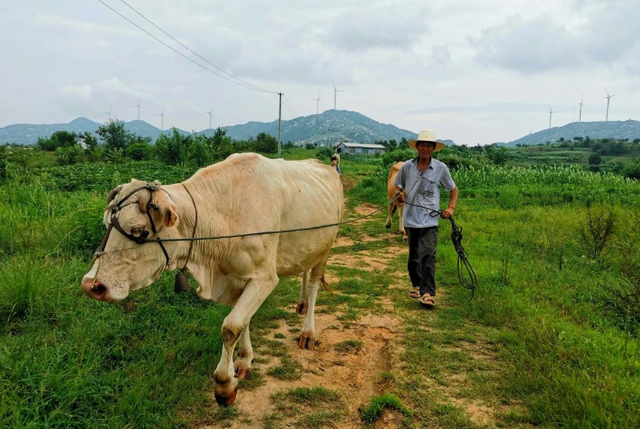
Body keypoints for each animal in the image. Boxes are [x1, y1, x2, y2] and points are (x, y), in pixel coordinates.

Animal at [83, 153, 348, 404]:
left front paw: (224, 384)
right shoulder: (237, 277)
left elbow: (231, 327)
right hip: (309, 246)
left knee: (314, 284)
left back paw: (308, 331)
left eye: (139, 231)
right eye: (105, 224)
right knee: (304, 271)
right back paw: (301, 303)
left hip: (327, 246)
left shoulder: (264, 277)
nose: (90, 285)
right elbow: (244, 322)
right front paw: (244, 362)